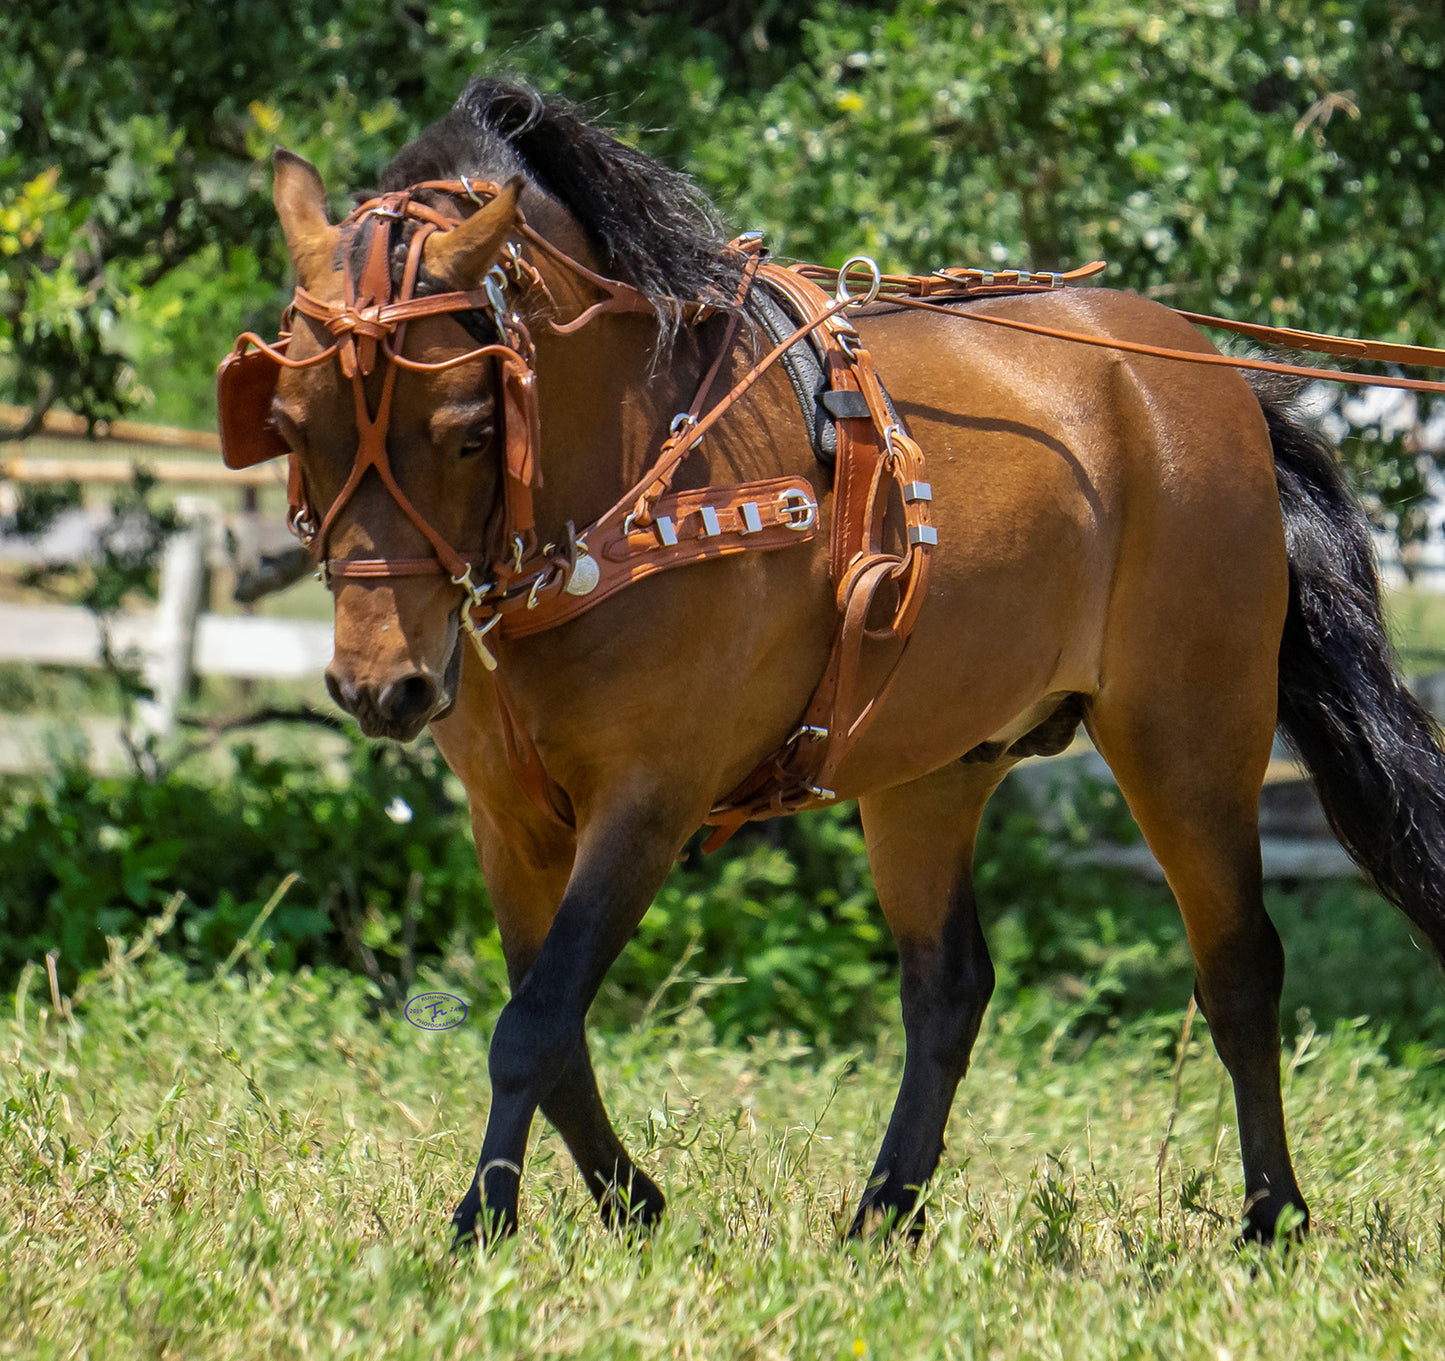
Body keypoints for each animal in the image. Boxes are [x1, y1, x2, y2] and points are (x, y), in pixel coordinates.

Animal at [225, 74, 1445, 1248]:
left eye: (471, 427)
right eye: (288, 418)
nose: (380, 687)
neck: (631, 473)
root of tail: (1213, 379)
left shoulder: (649, 799)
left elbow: (531, 1023)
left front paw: (481, 1224)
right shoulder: (510, 819)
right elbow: (553, 1024)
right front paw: (630, 1204)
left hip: (1186, 735)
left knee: (1238, 967)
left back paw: (1271, 1217)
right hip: (932, 766)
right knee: (948, 988)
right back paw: (881, 1214)